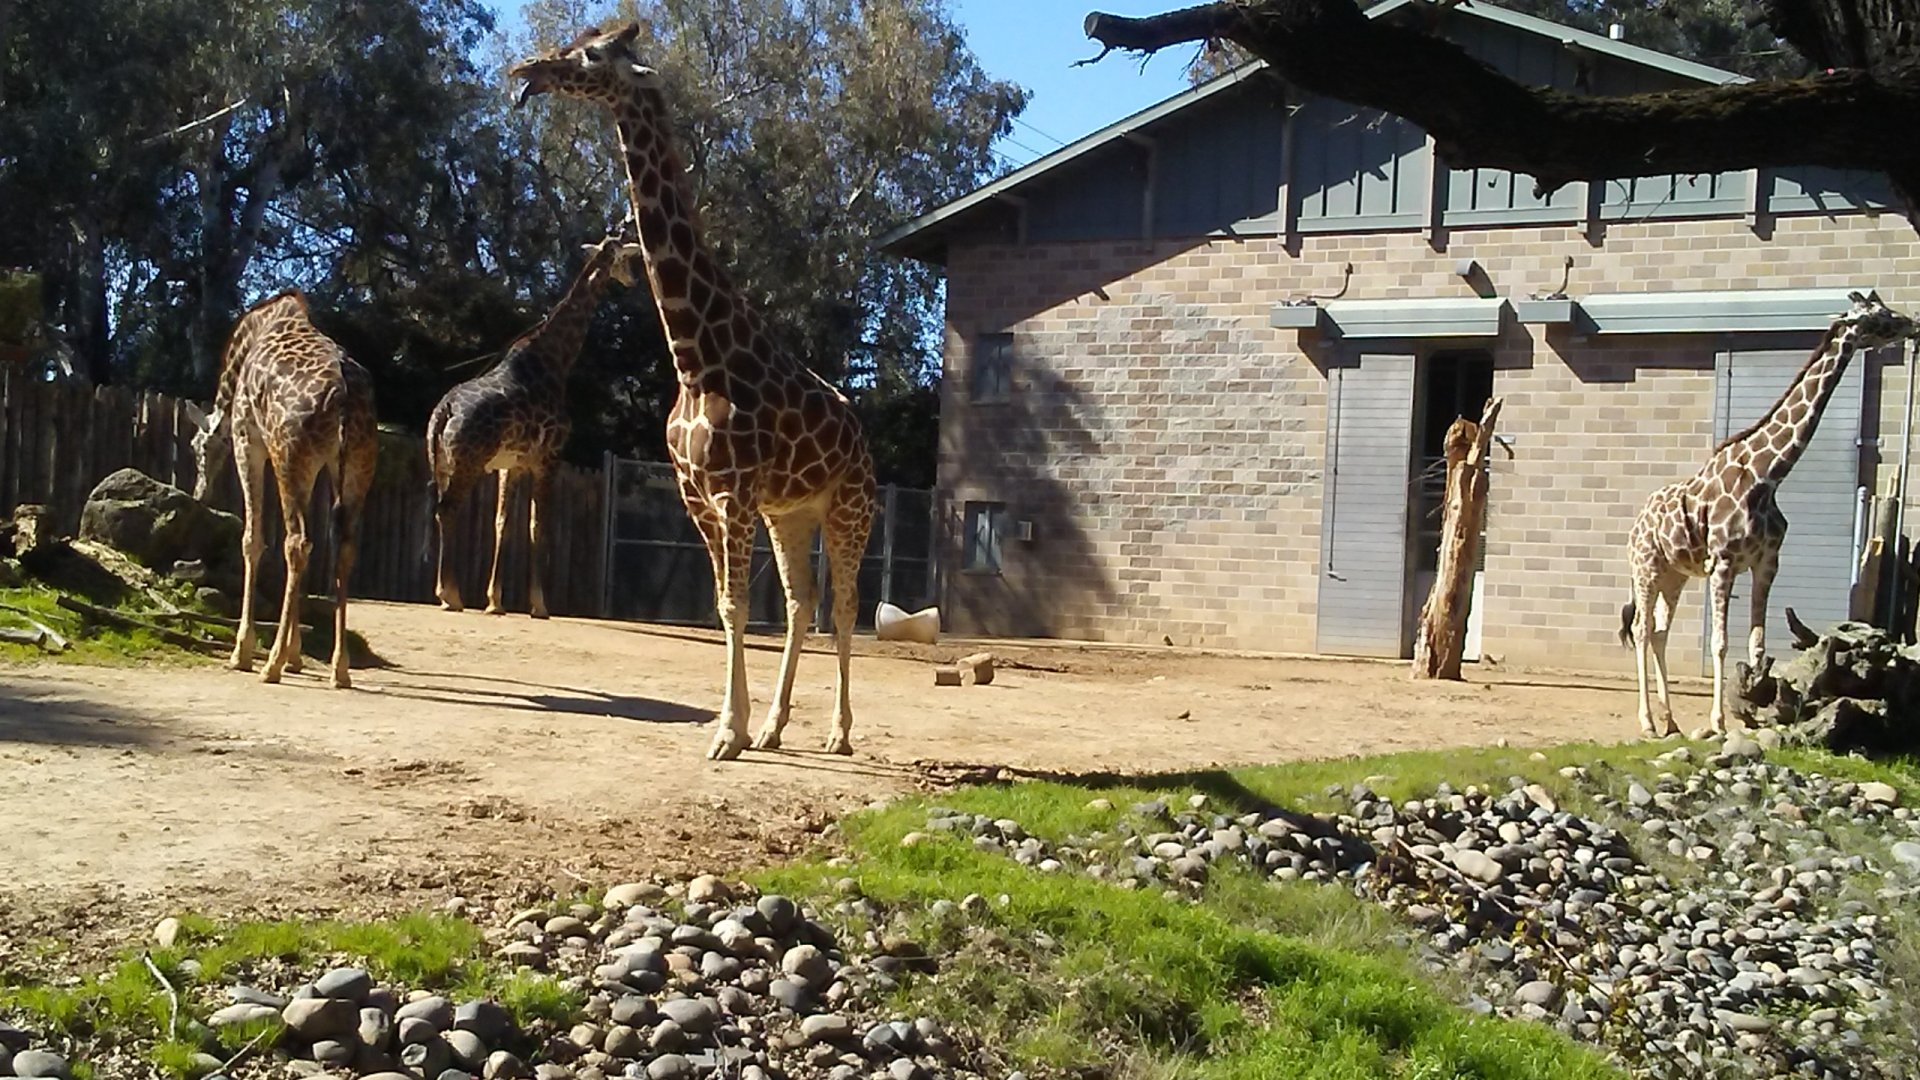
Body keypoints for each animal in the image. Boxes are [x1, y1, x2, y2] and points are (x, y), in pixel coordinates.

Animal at [185, 290, 378, 689]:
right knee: (340, 548)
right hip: (354, 465)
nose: (199, 493)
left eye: (197, 448)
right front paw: (296, 657)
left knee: (296, 542)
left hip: (291, 456)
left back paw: (269, 665)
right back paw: (339, 669)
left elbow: (252, 539)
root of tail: (346, 398)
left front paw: (243, 653)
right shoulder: (310, 463)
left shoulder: (249, 441)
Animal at [427, 225, 642, 618]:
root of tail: (444, 409)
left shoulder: (510, 464)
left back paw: (448, 592)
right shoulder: (548, 458)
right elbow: (538, 526)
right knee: (447, 509)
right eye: (626, 258)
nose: (633, 280)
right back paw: (451, 596)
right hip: (468, 461)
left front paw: (495, 602)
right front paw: (540, 605)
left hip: (441, 462)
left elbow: (503, 524)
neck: (557, 360)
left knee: (440, 510)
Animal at [510, 23, 878, 760]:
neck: (693, 357)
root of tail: (862, 439)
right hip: (792, 512)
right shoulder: (698, 496)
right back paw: (775, 728)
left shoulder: (732, 492)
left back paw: (839, 734)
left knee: (846, 604)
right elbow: (725, 605)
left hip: (849, 508)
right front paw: (736, 727)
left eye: (591, 55)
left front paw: (727, 733)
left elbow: (736, 605)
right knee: (800, 603)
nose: (528, 69)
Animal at [1620, 292, 1915, 737]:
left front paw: (1760, 711)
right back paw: (1649, 722)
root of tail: (1636, 524)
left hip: (1675, 575)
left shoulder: (1767, 563)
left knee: (1658, 632)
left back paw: (1670, 720)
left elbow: (1757, 644)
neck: (1767, 475)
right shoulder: (1723, 563)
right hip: (1647, 567)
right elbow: (1720, 643)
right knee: (1639, 629)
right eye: (1879, 317)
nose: (1912, 324)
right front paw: (1719, 722)